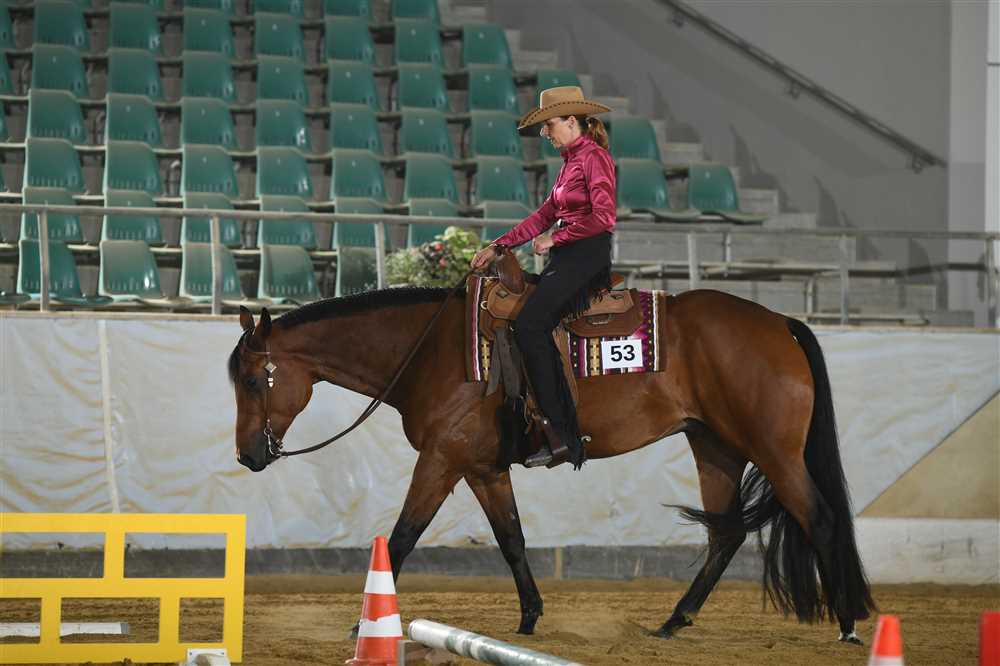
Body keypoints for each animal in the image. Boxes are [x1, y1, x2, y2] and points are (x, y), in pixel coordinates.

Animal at [227, 285, 876, 644]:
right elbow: (511, 538)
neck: (432, 350)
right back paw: (673, 622)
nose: (248, 455)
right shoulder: (482, 467)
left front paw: (363, 623)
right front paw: (529, 617)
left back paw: (847, 624)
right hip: (714, 446)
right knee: (726, 533)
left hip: (771, 448)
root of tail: (781, 324)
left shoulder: (441, 459)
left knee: (819, 518)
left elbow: (404, 536)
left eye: (254, 380)